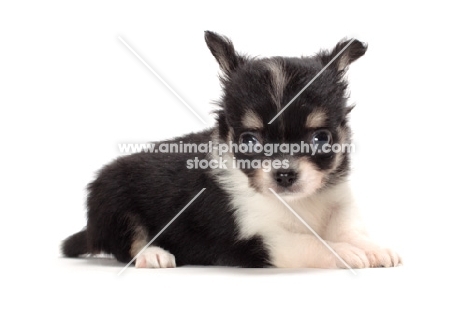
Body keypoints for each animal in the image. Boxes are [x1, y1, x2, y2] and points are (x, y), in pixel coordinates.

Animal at [61, 32, 402, 270]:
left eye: (320, 138)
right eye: (249, 141)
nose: (284, 174)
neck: (299, 204)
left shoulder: (338, 203)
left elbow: (349, 229)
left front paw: (372, 248)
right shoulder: (259, 239)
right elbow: (311, 243)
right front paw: (345, 252)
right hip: (111, 200)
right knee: (127, 243)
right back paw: (153, 254)